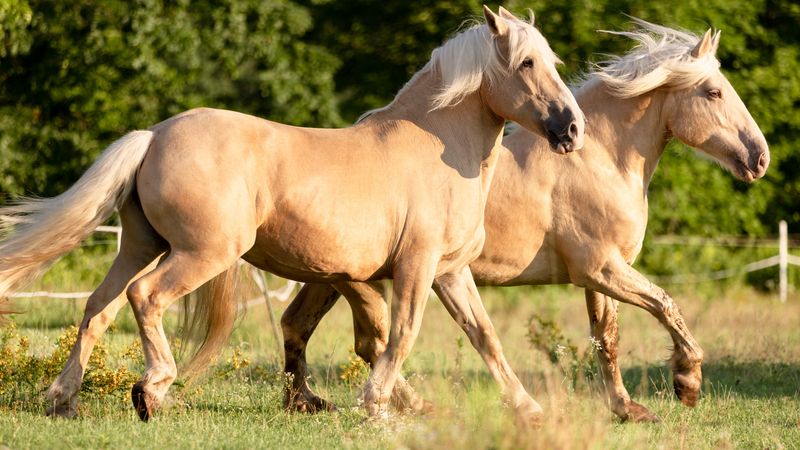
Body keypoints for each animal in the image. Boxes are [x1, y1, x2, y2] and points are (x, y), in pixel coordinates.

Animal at [1, 7, 588, 424]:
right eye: (527, 63)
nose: (572, 129)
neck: (434, 146)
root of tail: (154, 135)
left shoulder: (448, 272)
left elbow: (482, 335)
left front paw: (528, 409)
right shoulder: (416, 267)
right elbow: (401, 333)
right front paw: (374, 405)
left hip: (142, 245)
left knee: (97, 308)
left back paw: (63, 401)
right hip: (202, 252)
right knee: (143, 298)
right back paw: (153, 392)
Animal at [276, 20, 768, 422]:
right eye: (713, 92)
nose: (759, 158)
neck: (600, 159)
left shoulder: (601, 275)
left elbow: (606, 338)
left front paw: (628, 409)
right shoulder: (601, 268)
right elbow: (665, 304)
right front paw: (687, 382)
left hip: (331, 274)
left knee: (299, 323)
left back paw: (309, 401)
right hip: (359, 275)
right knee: (369, 339)